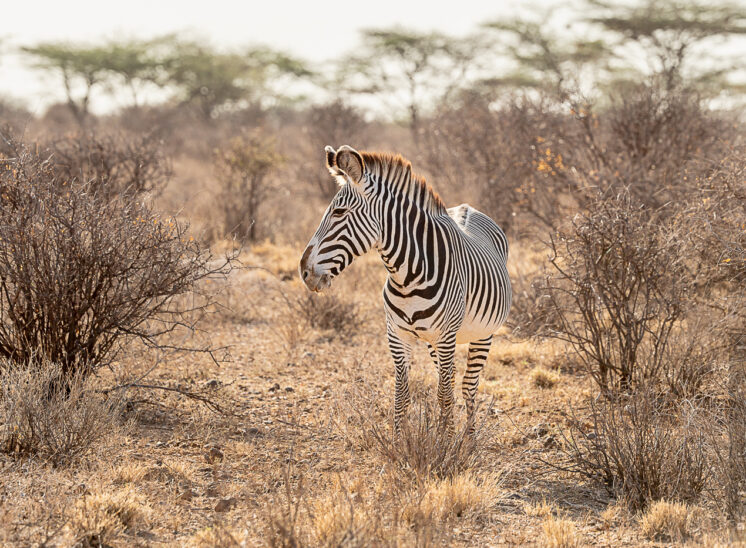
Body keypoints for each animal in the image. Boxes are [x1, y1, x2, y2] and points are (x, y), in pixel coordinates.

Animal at [300, 147, 508, 436]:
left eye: (339, 212)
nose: (304, 272)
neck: (407, 278)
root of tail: (468, 208)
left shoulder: (446, 337)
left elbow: (444, 394)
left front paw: (445, 442)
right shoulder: (397, 335)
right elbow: (403, 393)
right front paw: (401, 440)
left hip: (482, 333)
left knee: (468, 385)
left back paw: (469, 437)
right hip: (434, 341)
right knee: (452, 379)